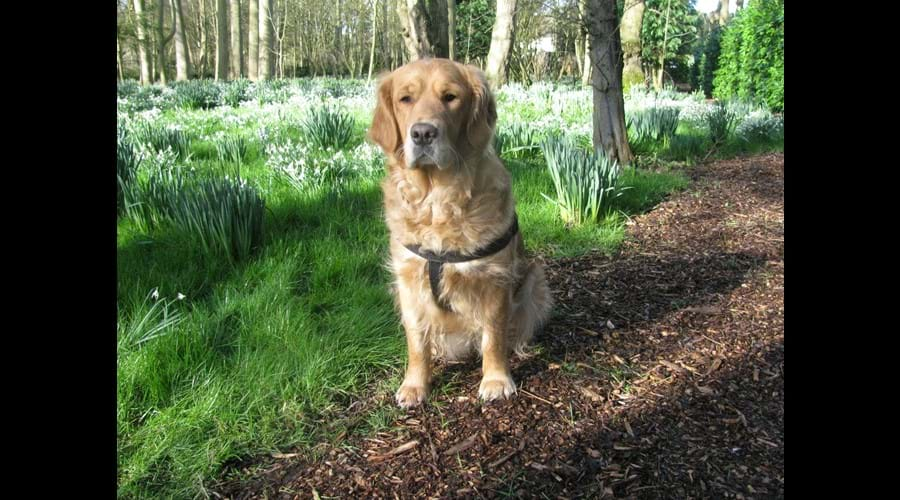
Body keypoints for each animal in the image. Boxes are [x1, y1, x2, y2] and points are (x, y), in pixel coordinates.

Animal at [368, 57, 552, 406]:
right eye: (405, 99)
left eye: (450, 97)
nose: (423, 133)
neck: (438, 200)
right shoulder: (408, 282)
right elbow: (416, 342)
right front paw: (415, 385)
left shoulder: (494, 279)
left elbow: (494, 336)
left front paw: (496, 380)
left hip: (535, 278)